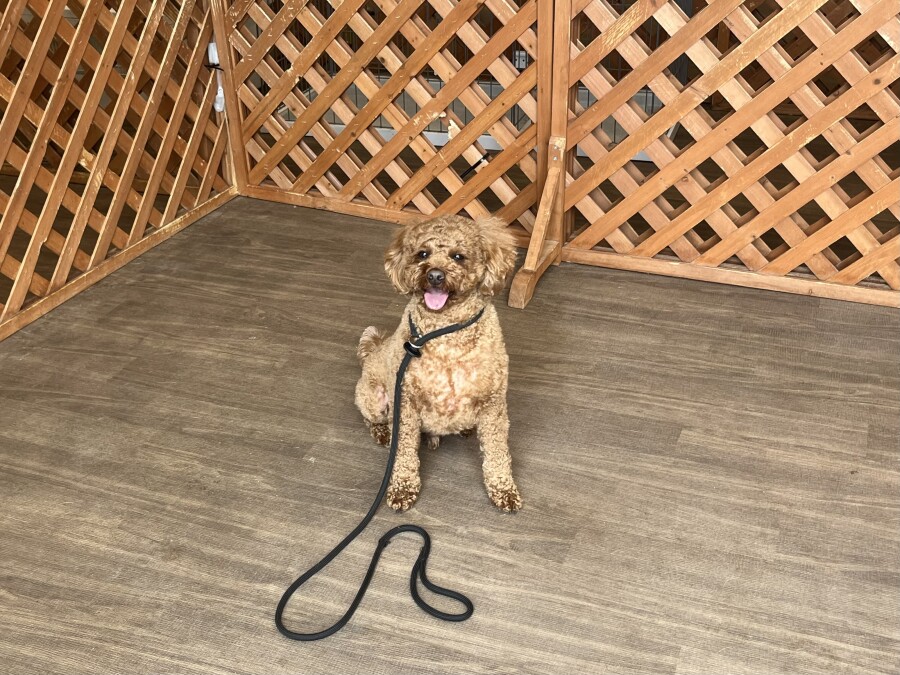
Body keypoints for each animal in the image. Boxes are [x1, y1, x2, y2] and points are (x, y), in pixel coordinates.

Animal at [354, 215, 522, 512]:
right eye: (423, 254)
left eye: (458, 256)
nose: (434, 275)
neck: (445, 333)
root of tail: (373, 348)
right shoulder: (405, 404)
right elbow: (404, 452)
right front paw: (402, 488)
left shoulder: (494, 405)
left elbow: (497, 453)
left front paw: (503, 489)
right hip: (373, 398)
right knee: (371, 418)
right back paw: (383, 433)